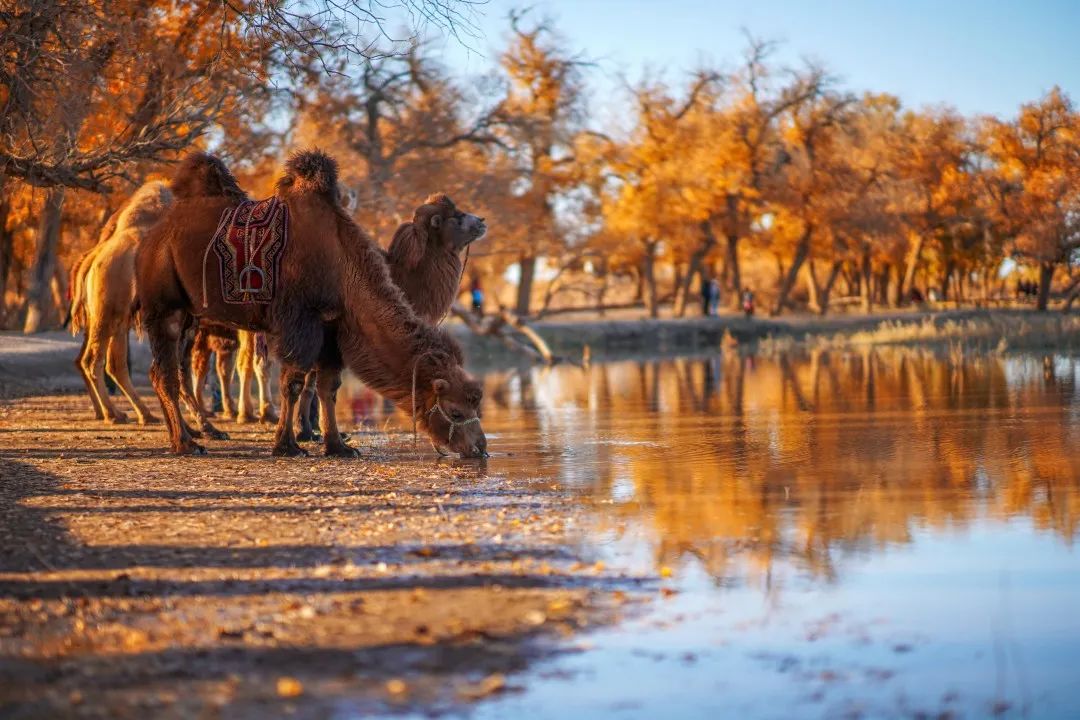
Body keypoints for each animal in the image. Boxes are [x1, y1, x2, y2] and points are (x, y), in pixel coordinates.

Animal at [69, 183, 170, 425]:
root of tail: (93, 256)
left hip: (116, 316)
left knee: (111, 363)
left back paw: (136, 413)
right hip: (108, 311)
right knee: (93, 360)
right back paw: (112, 414)